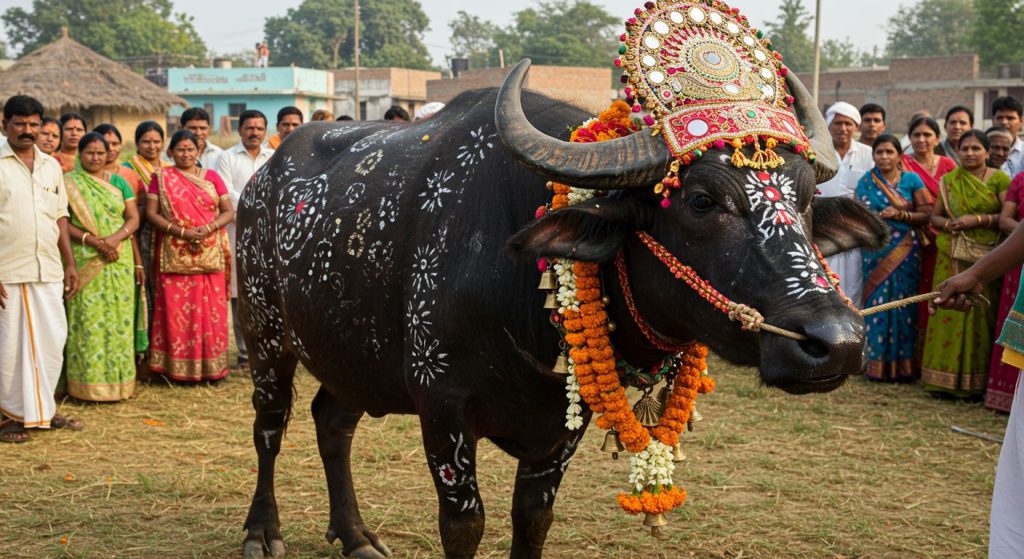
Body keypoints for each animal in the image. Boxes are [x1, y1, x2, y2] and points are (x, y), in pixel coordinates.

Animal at [236, 60, 887, 558]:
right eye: (702, 200)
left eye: (805, 200)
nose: (838, 341)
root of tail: (262, 180)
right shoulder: (442, 411)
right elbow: (464, 526)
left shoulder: (559, 432)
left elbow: (532, 521)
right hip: (267, 336)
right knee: (270, 428)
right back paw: (262, 532)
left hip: (352, 355)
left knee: (332, 422)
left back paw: (354, 535)